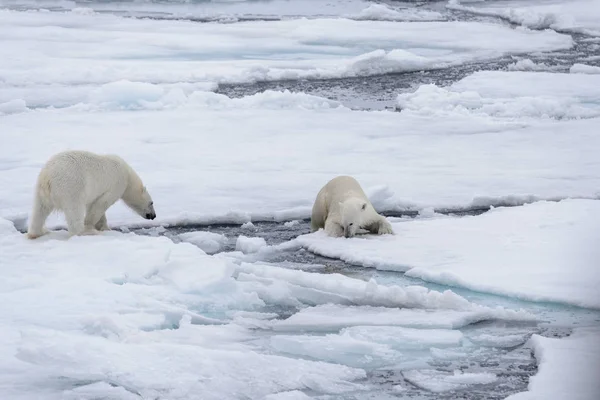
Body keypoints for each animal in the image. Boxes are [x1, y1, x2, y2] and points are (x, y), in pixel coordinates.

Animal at [25, 149, 157, 238]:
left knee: (39, 210)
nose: (153, 215)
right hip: (71, 187)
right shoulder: (116, 184)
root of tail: (47, 177)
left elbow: (93, 204)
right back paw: (85, 232)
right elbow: (102, 204)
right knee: (75, 211)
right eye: (151, 203)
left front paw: (103, 227)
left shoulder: (94, 191)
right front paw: (91, 225)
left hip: (40, 190)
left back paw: (38, 232)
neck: (128, 176)